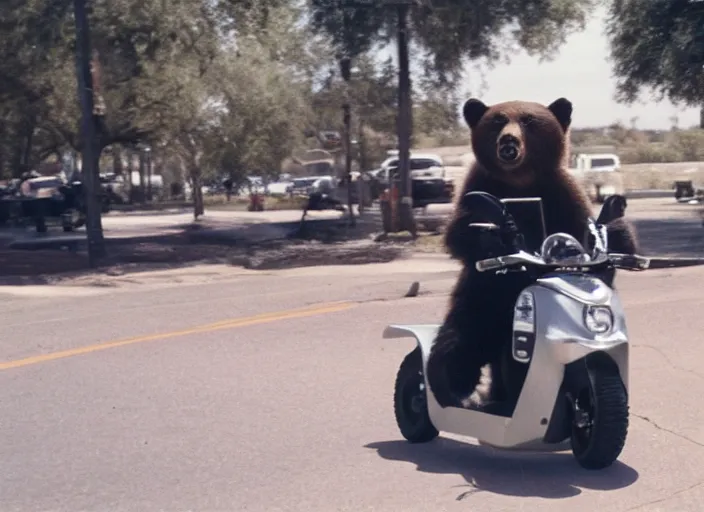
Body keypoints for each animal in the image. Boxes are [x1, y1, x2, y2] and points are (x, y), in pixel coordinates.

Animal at [426, 96, 640, 410]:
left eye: (528, 120)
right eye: (498, 120)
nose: (509, 141)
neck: (520, 183)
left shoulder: (562, 194)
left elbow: (591, 241)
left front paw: (617, 234)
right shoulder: (478, 187)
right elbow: (460, 234)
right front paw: (494, 237)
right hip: (478, 302)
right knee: (457, 346)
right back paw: (456, 390)